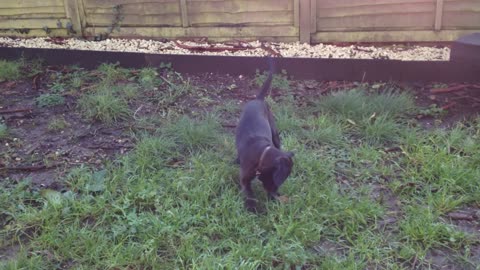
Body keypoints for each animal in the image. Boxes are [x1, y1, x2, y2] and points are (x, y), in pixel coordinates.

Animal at [235, 58, 292, 211]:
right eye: (277, 180)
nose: (276, 194)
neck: (262, 153)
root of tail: (258, 99)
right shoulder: (244, 179)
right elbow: (249, 194)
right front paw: (253, 208)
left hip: (275, 133)